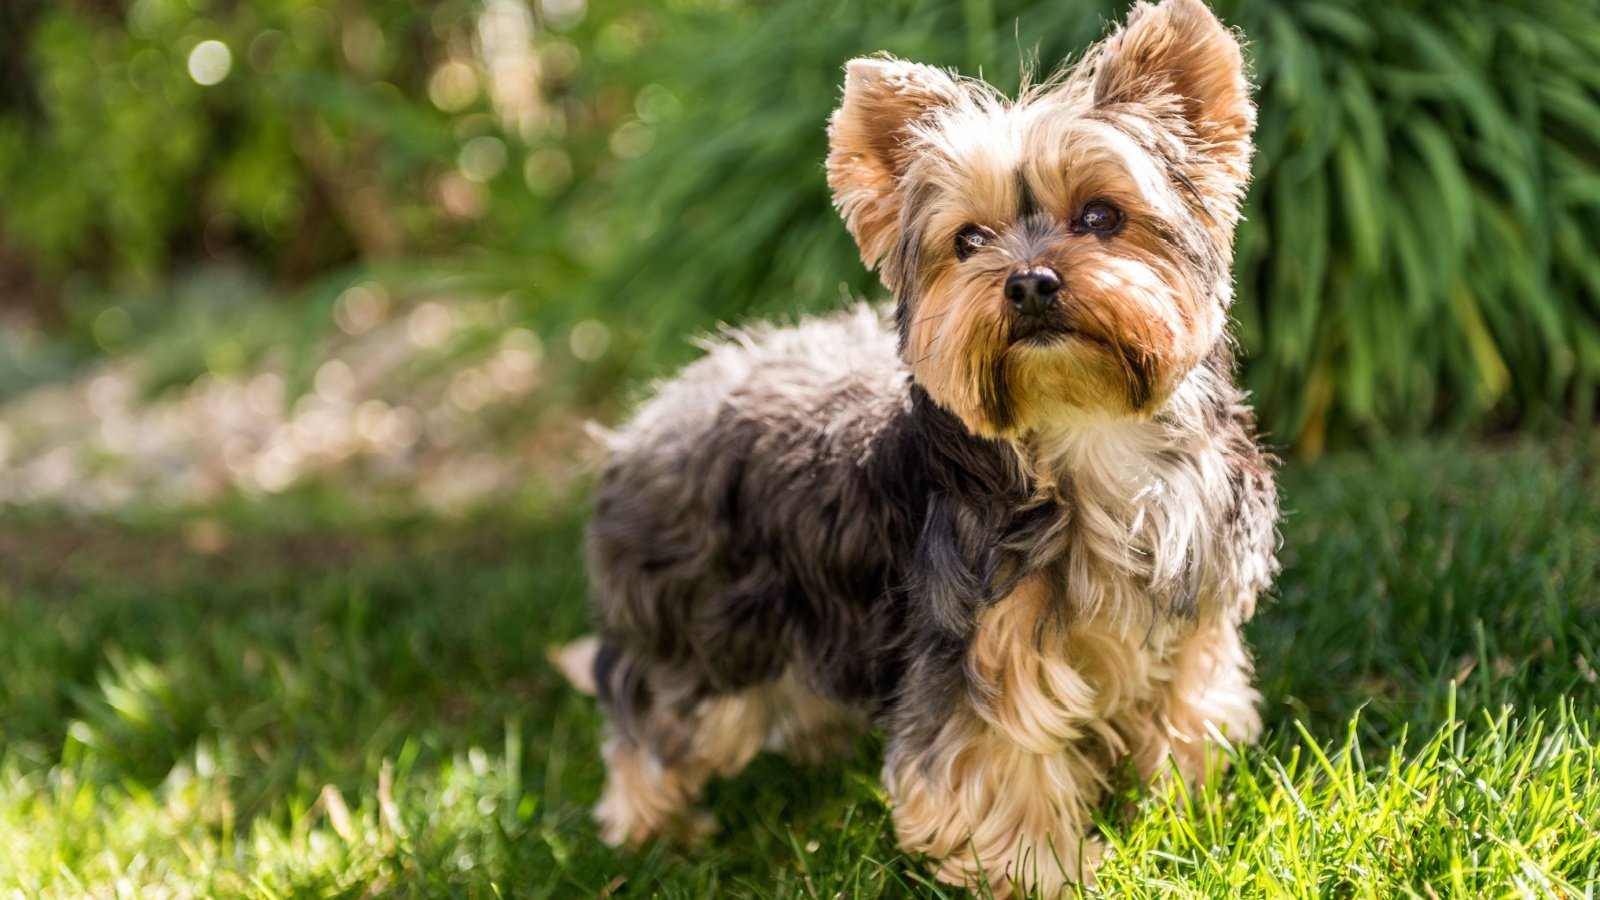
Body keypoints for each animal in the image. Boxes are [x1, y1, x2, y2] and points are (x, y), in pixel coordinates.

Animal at [556, 0, 1280, 883]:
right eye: (969, 241)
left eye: (1101, 216)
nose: (1028, 282)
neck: (1084, 431)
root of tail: (645, 418)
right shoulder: (975, 647)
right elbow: (998, 768)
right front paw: (1049, 873)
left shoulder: (1191, 617)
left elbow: (1185, 710)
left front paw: (1181, 814)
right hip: (702, 624)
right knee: (653, 712)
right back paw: (652, 833)